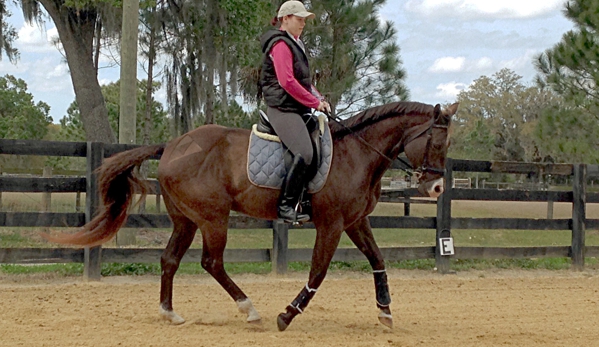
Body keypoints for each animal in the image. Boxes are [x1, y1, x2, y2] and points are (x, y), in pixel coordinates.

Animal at [49, 100, 460, 332]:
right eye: (438, 142)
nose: (437, 189)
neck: (357, 154)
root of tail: (173, 145)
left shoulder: (356, 221)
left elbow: (377, 259)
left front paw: (385, 312)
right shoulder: (332, 224)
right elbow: (318, 272)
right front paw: (288, 315)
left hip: (186, 220)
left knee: (170, 260)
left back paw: (170, 313)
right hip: (213, 218)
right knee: (212, 262)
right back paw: (250, 310)